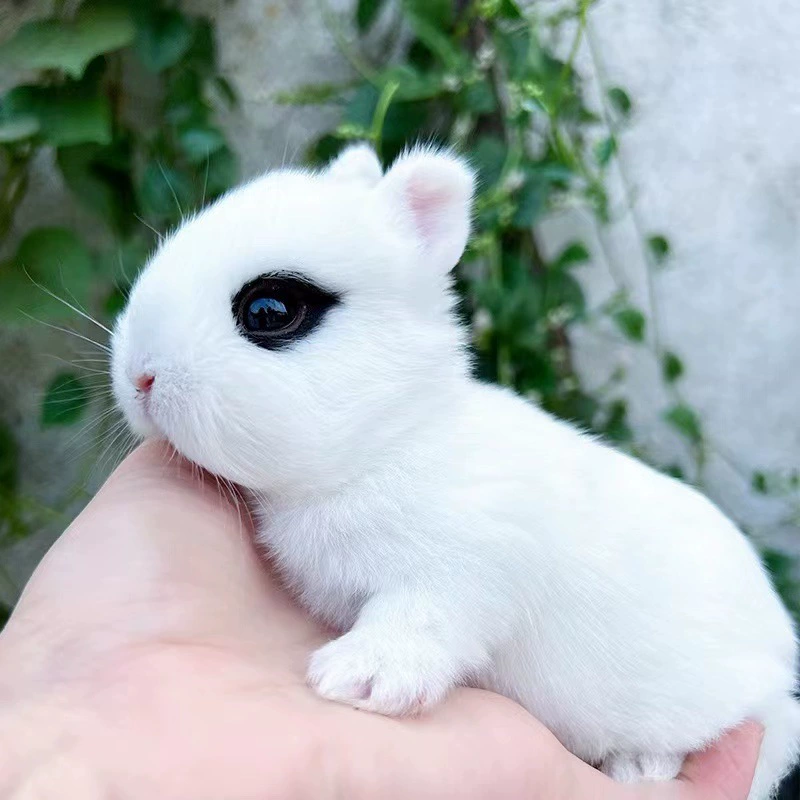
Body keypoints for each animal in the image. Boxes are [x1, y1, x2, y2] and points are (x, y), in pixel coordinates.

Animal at [111, 143, 800, 798]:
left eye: (269, 310)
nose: (140, 376)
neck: (384, 441)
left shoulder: (465, 569)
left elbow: (420, 618)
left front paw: (358, 679)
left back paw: (641, 765)